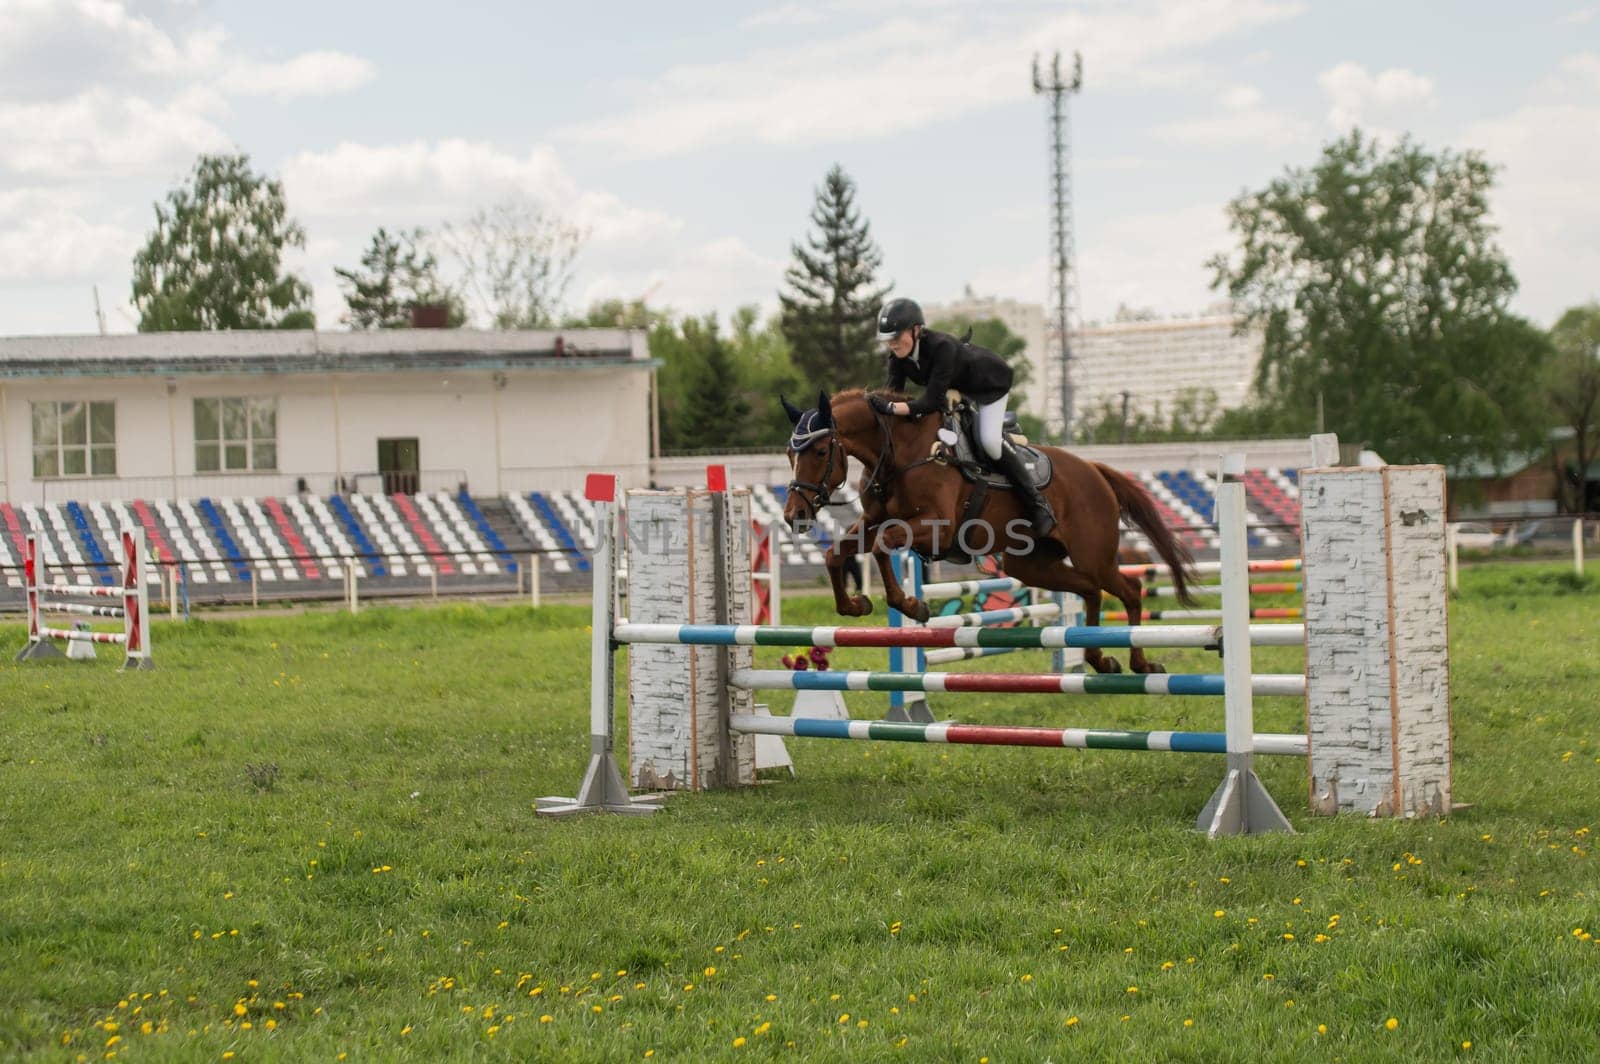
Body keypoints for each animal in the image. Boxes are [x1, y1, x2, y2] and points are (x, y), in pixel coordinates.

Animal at [780, 388, 1196, 672]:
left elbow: (882, 547)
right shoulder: (872, 522)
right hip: (1031, 564)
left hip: (1094, 555)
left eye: (820, 452)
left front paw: (913, 605)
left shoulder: (937, 528)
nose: (793, 514)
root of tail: (1095, 470)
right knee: (1091, 590)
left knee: (1130, 590)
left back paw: (1142, 663)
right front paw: (855, 605)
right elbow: (836, 553)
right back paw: (1099, 658)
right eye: (789, 453)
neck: (900, 453)